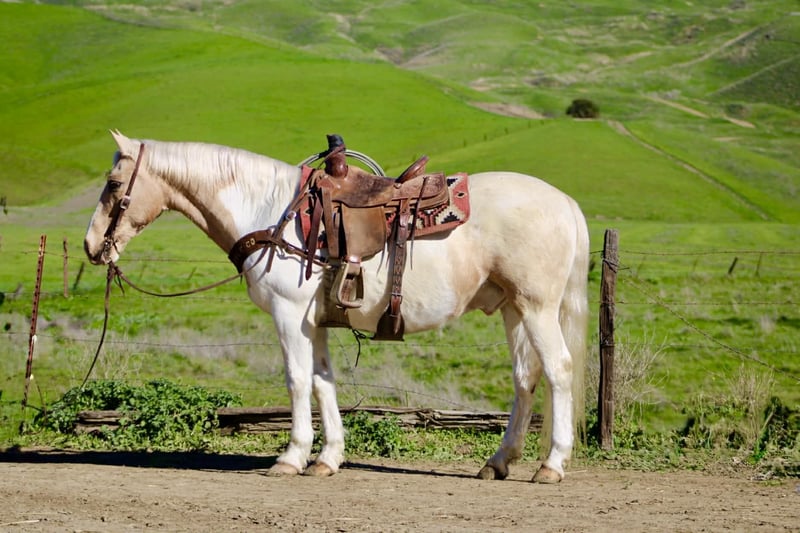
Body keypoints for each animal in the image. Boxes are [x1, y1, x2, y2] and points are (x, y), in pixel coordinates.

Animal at [84, 130, 590, 483]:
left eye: (113, 183)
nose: (92, 246)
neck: (270, 212)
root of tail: (565, 201)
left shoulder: (289, 316)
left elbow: (296, 380)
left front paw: (291, 457)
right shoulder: (316, 322)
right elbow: (322, 381)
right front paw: (327, 458)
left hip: (537, 308)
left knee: (559, 370)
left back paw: (552, 465)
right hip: (513, 309)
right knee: (525, 378)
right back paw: (499, 461)